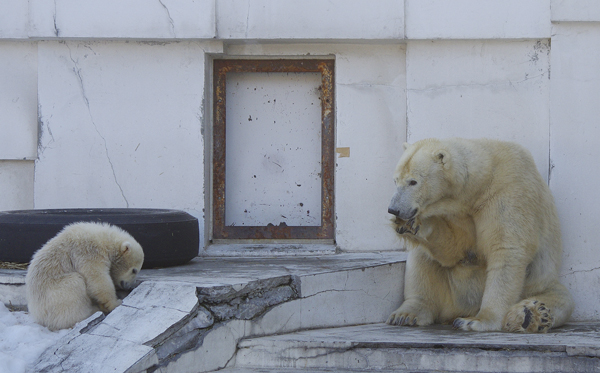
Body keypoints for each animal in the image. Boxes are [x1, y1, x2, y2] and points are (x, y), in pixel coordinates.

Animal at [386, 137, 576, 332]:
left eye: (413, 182)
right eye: (395, 180)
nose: (393, 209)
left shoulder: (509, 193)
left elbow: (507, 250)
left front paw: (476, 321)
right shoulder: (457, 213)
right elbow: (452, 250)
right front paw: (412, 224)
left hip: (539, 282)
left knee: (561, 299)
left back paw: (530, 316)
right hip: (450, 292)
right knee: (421, 258)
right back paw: (407, 314)